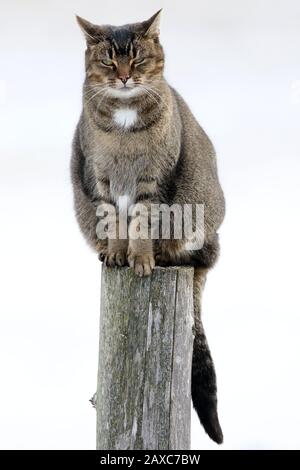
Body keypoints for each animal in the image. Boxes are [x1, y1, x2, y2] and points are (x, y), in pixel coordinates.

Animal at [71, 10, 225, 444]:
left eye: (136, 57)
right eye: (109, 60)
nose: (124, 76)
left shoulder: (152, 182)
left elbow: (141, 223)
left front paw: (140, 260)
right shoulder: (101, 181)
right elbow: (115, 224)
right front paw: (117, 256)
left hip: (197, 220)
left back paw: (163, 257)